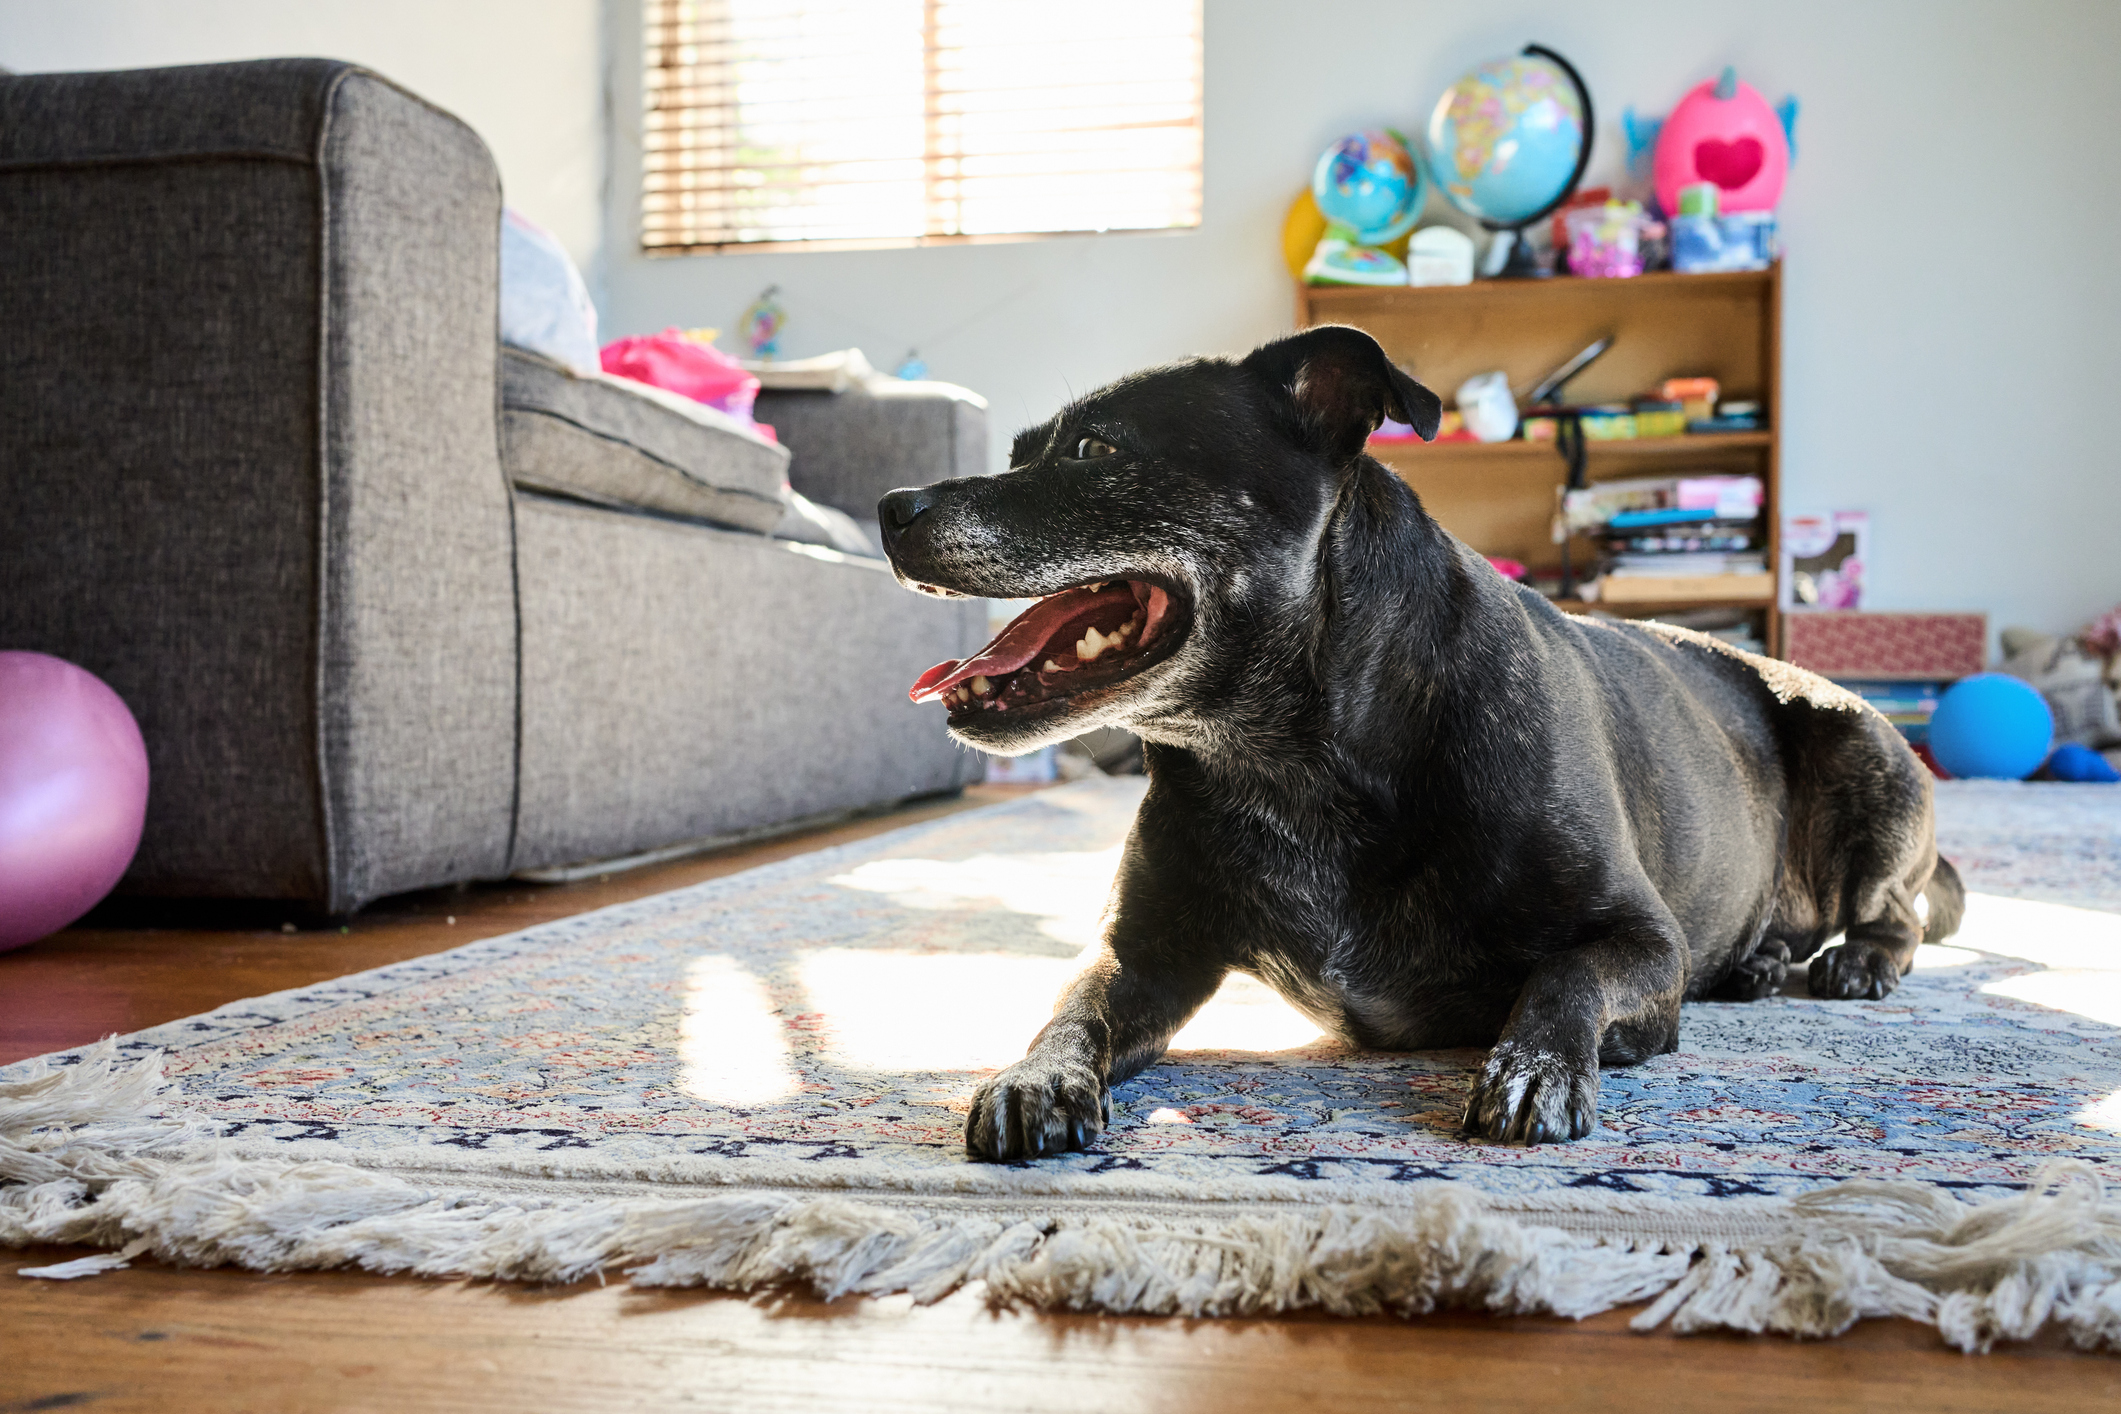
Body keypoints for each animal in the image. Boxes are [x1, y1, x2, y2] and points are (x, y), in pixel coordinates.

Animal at [869, 326, 1959, 1153]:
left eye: (1094, 453)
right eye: (1020, 450)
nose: (889, 506)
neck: (1290, 755)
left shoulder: (1639, 941)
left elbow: (1562, 978)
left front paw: (1534, 1067)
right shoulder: (1142, 953)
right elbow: (1071, 1007)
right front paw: (1036, 1075)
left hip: (1862, 757)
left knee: (1896, 908)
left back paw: (1853, 962)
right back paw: (1759, 963)